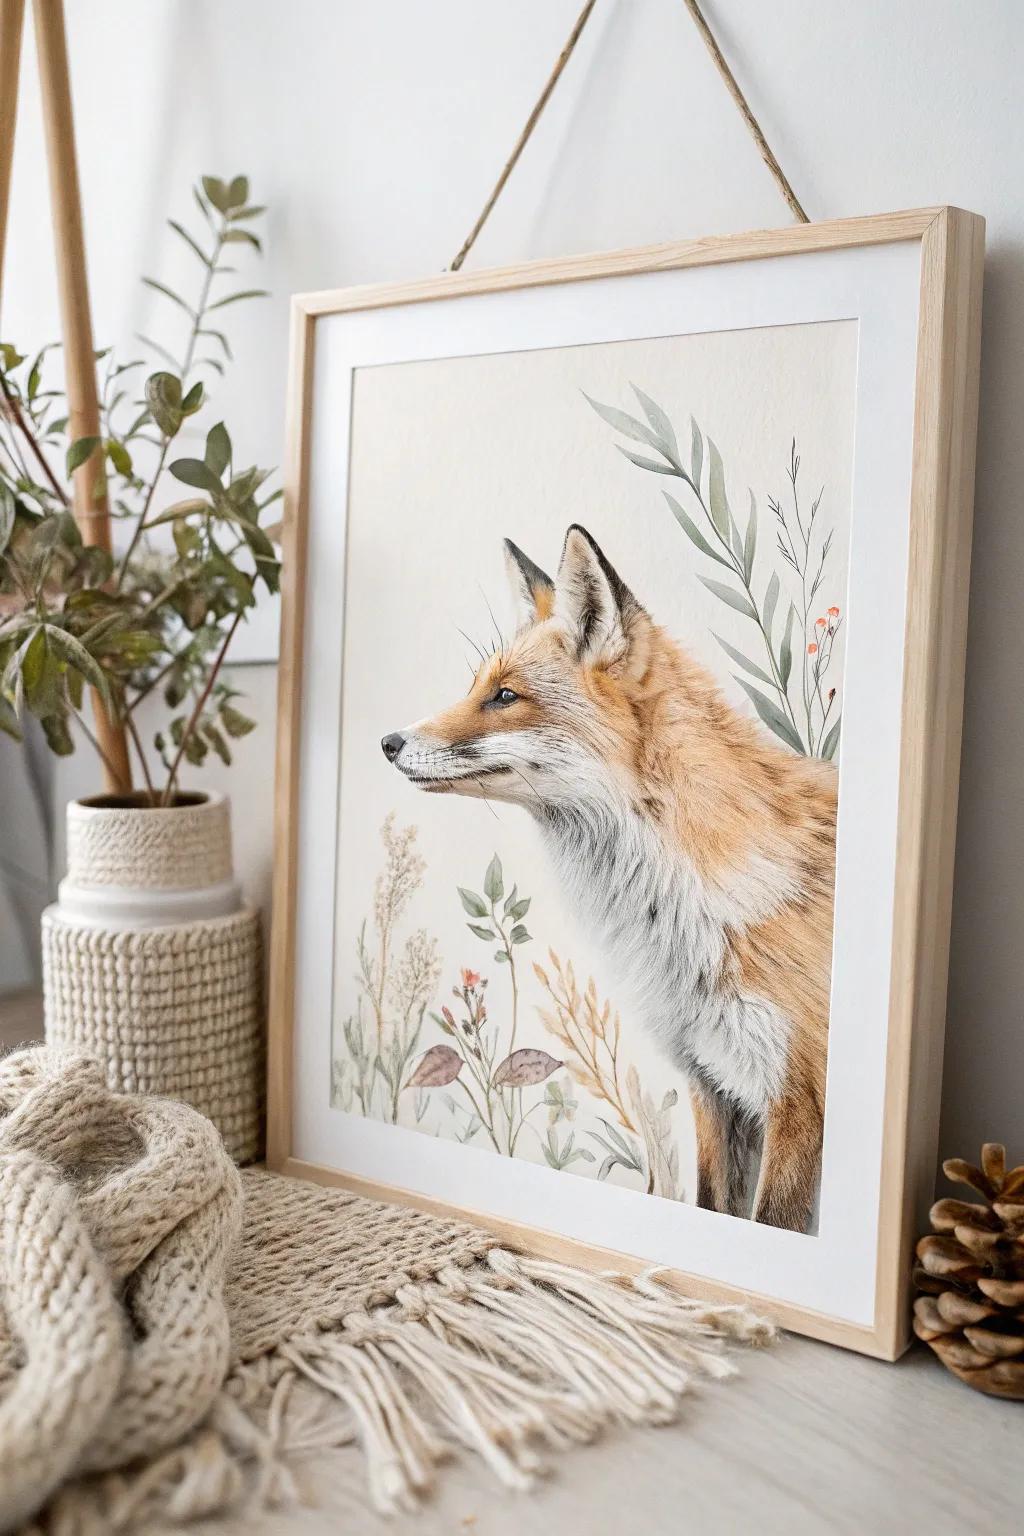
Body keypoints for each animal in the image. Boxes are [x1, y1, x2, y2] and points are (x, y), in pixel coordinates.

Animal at [381, 524, 837, 1233]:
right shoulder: (715, 1082)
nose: (389, 743)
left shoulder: (798, 1099)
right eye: (476, 687)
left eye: (505, 697)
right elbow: (712, 1204)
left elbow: (768, 1223)